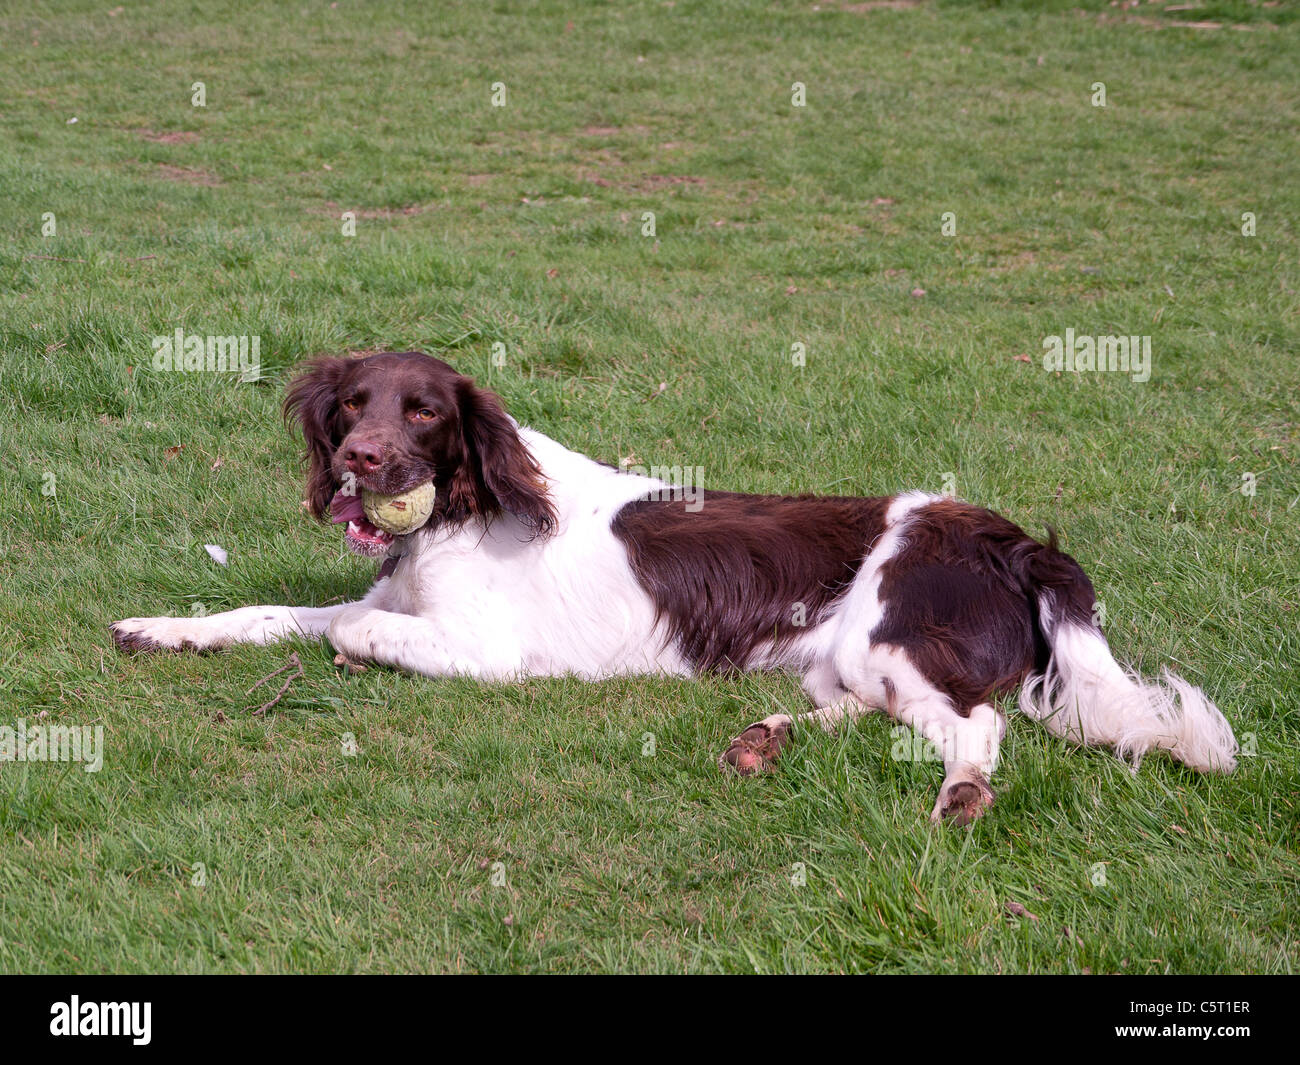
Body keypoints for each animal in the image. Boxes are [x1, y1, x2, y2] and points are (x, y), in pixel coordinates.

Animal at [114, 351, 1237, 827]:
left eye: (425, 410)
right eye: (352, 403)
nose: (361, 460)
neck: (462, 513)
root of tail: (1008, 539)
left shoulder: (486, 651)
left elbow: (349, 631)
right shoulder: (389, 599)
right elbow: (276, 612)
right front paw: (161, 627)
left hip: (889, 637)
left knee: (974, 726)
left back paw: (959, 797)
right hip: (841, 656)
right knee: (877, 715)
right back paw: (763, 739)